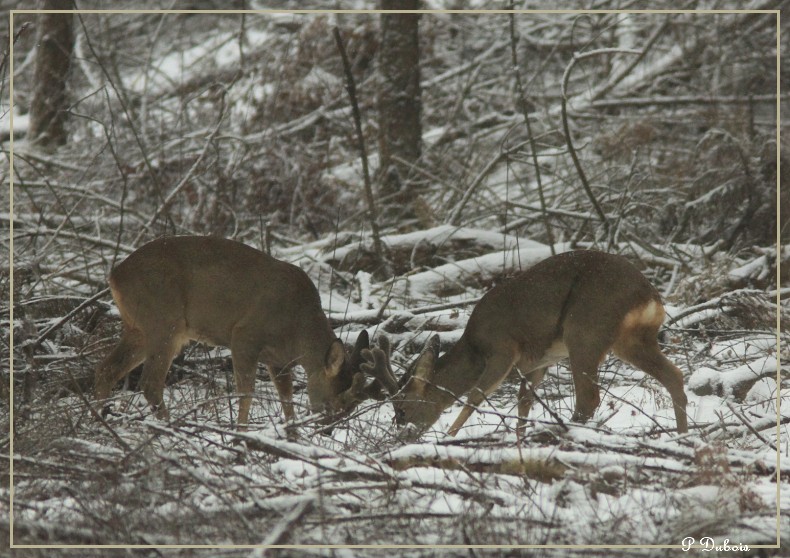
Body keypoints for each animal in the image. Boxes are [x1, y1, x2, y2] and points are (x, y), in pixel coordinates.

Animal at [95, 236, 374, 428]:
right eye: (335, 401)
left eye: (350, 408)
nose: (327, 429)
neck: (297, 327)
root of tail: (114, 275)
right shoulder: (244, 335)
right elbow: (246, 392)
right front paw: (241, 435)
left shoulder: (278, 359)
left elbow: (286, 398)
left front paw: (292, 435)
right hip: (163, 322)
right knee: (150, 382)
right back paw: (173, 426)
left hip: (139, 328)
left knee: (107, 368)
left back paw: (98, 419)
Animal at [358, 252, 688, 440]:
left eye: (401, 409)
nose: (403, 437)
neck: (474, 347)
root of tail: (649, 297)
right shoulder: (539, 362)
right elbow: (523, 403)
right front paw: (518, 441)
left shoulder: (503, 349)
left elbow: (475, 396)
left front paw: (449, 438)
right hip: (630, 341)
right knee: (675, 375)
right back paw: (683, 437)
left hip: (585, 331)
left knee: (588, 398)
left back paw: (565, 432)